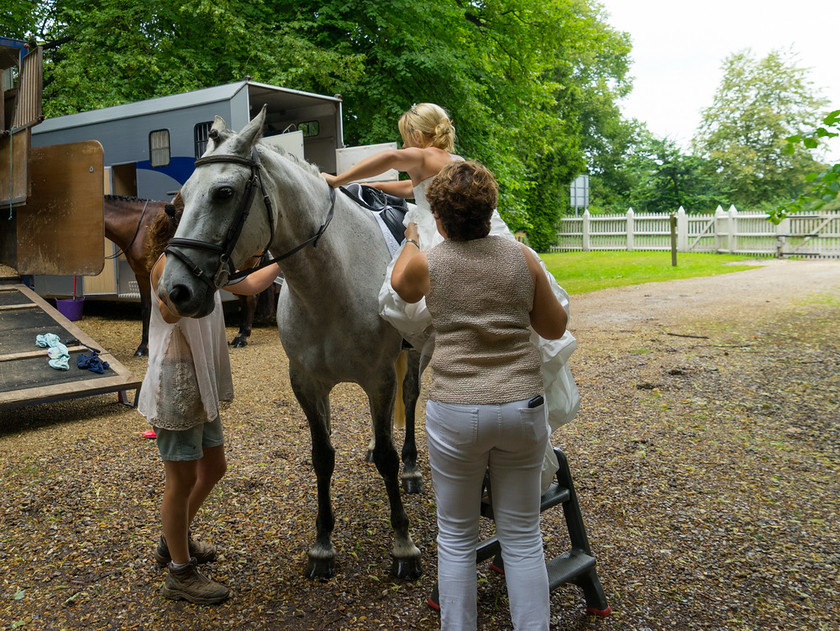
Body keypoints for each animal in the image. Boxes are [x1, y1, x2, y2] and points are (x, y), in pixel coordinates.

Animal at [157, 106, 424, 580]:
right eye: (181, 198)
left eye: (224, 192)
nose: (175, 291)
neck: (330, 283)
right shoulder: (306, 383)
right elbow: (322, 456)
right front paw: (322, 545)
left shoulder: (377, 378)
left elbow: (389, 458)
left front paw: (403, 545)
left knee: (409, 400)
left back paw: (411, 468)